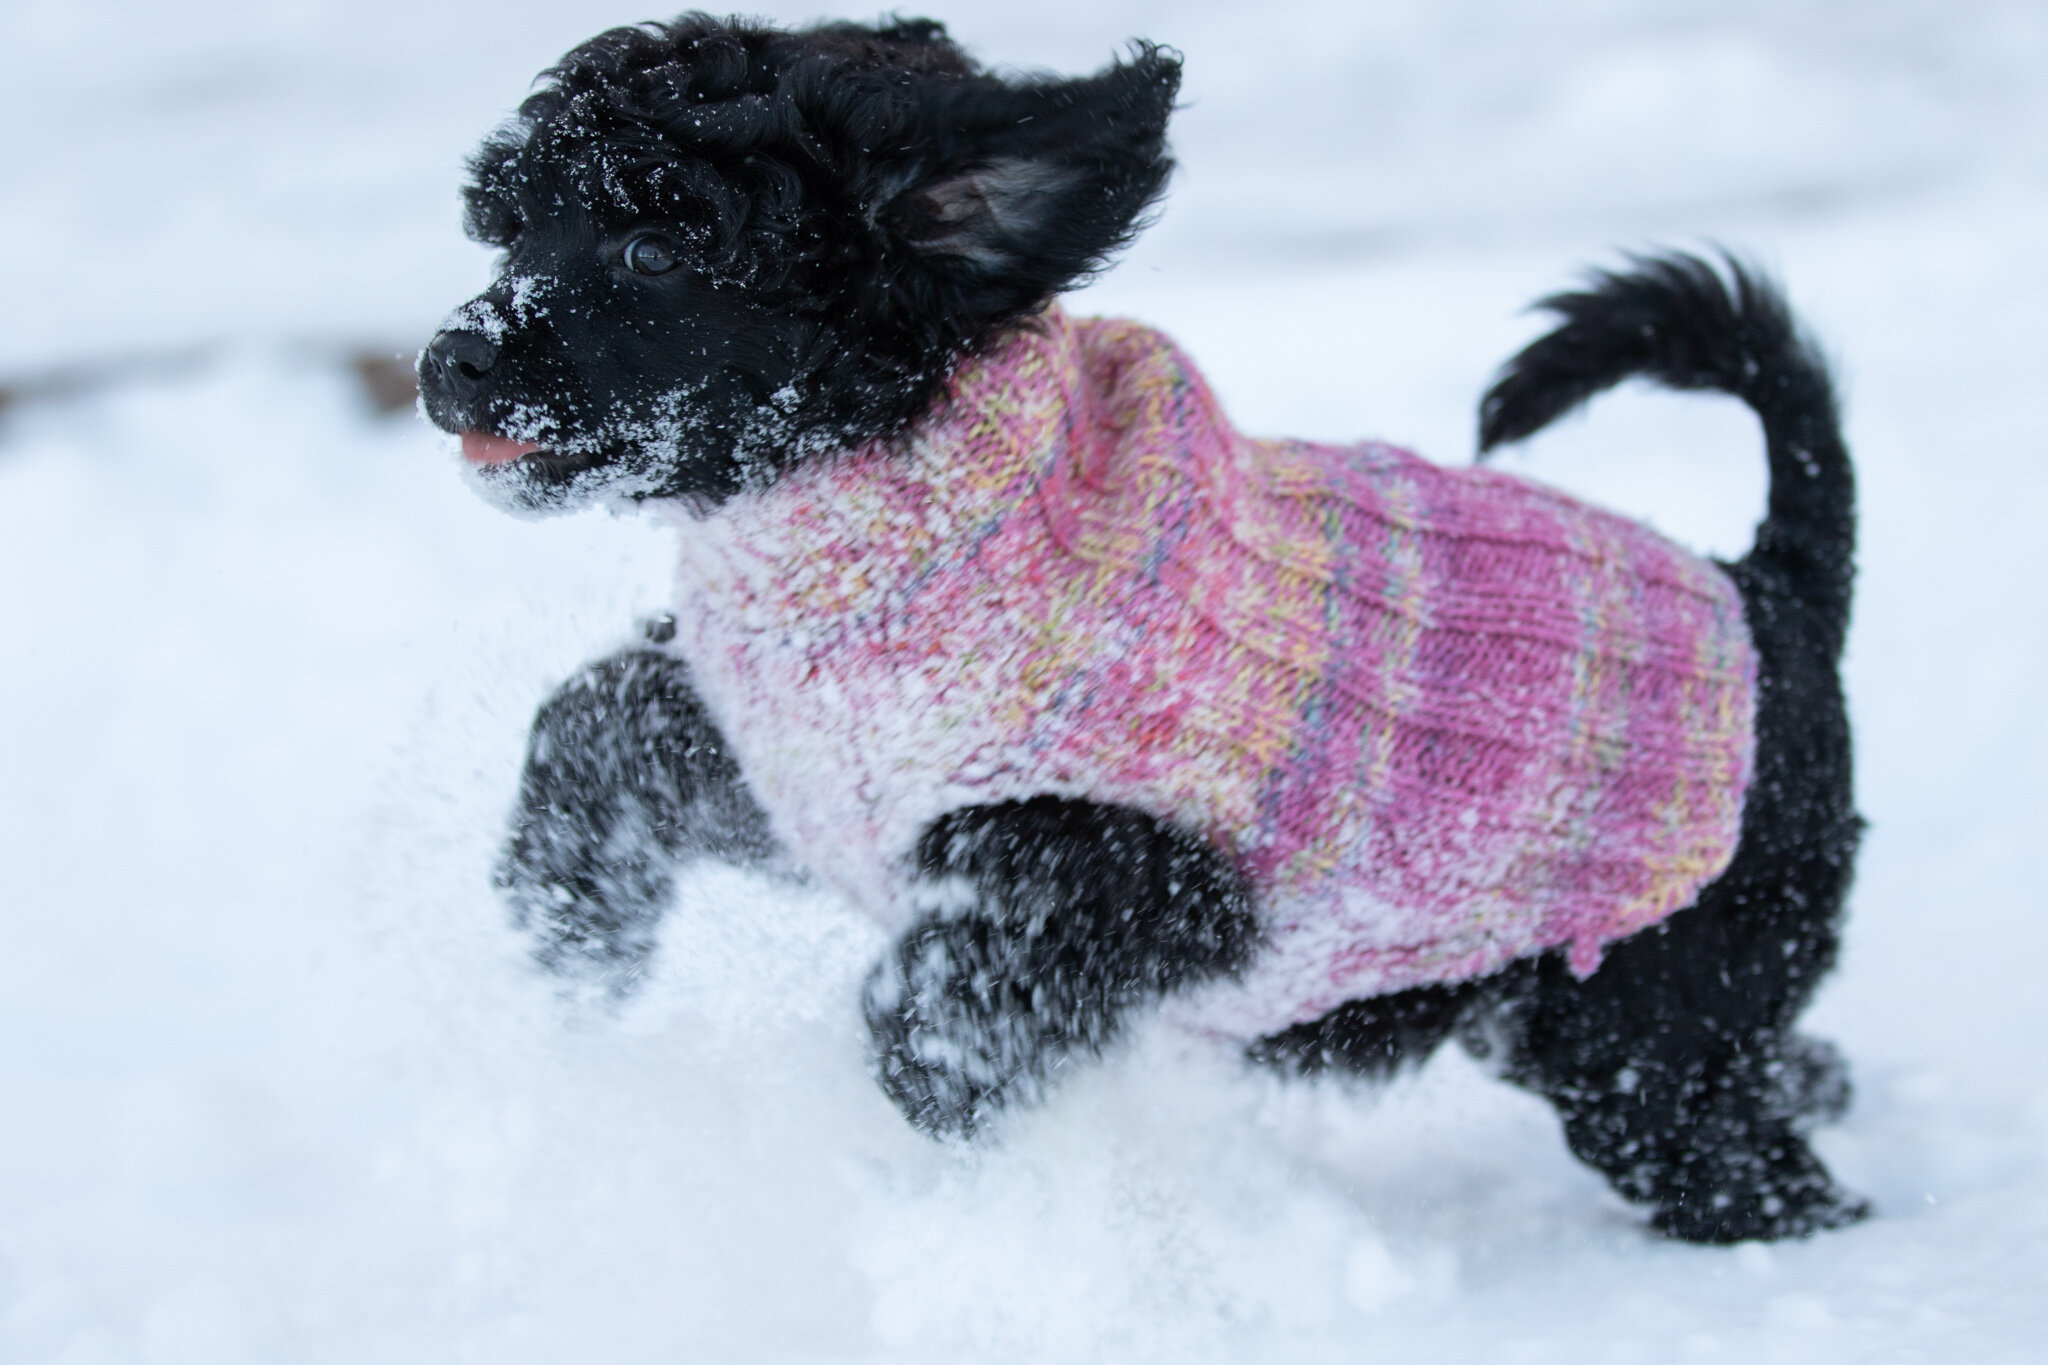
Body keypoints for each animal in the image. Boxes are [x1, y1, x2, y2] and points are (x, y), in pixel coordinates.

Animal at [423, 13, 1867, 1252]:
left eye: (654, 253)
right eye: (511, 232)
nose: (449, 362)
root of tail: (1775, 592)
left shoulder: (1121, 870)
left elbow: (928, 1020)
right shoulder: (807, 775)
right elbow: (593, 728)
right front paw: (566, 933)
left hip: (1647, 1032)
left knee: (1748, 1170)